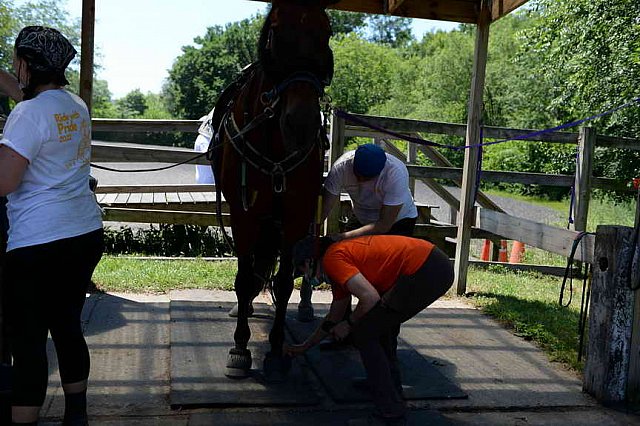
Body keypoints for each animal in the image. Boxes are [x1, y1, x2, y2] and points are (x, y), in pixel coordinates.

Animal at [210, 0, 336, 382]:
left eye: (326, 32)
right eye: (277, 32)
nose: (302, 123)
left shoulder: (295, 215)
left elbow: (282, 283)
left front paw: (278, 351)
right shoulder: (244, 214)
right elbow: (242, 276)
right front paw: (239, 348)